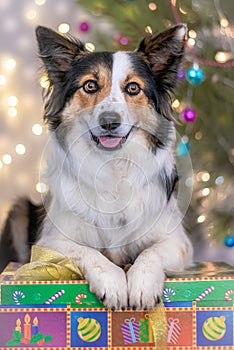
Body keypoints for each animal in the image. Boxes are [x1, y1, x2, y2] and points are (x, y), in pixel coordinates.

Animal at [0, 23, 193, 308]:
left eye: (133, 88)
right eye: (90, 85)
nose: (109, 122)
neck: (112, 166)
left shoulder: (178, 241)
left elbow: (151, 253)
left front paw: (142, 283)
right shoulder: (51, 242)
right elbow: (90, 253)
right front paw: (113, 282)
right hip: (19, 210)